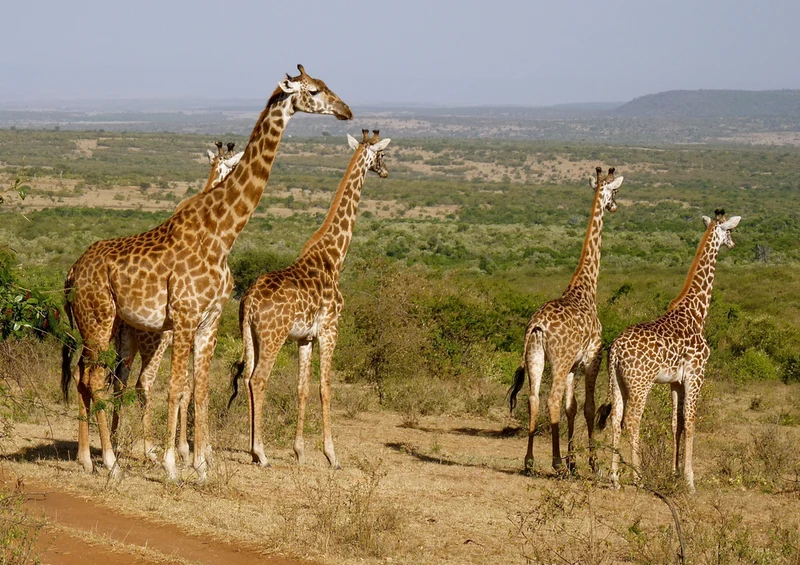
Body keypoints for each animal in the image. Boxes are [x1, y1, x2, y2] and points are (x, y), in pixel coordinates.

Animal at [109, 141, 244, 463]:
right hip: (155, 340)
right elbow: (188, 386)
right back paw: (149, 449)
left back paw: (116, 442)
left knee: (119, 381)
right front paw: (190, 449)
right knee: (143, 383)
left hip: (125, 339)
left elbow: (188, 385)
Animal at [228, 129, 390, 468]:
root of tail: (248, 301)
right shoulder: (330, 329)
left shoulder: (305, 338)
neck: (334, 256)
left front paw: (299, 451)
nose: (385, 171)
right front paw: (332, 455)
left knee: (247, 376)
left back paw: (253, 451)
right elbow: (325, 388)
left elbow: (302, 388)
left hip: (250, 335)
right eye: (382, 155)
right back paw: (261, 453)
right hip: (273, 336)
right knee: (258, 380)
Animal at [508, 167, 624, 475]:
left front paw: (574, 462)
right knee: (551, 399)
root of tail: (537, 326)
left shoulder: (573, 365)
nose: (614, 206)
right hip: (557, 361)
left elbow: (571, 407)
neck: (586, 287)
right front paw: (590, 464)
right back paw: (556, 462)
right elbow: (587, 407)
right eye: (616, 191)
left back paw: (530, 461)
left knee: (534, 398)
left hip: (536, 357)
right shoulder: (592, 359)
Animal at [596, 209, 741, 492]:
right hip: (640, 383)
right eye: (729, 230)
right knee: (632, 421)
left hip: (616, 381)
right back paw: (638, 478)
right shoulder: (697, 374)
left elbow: (676, 423)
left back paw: (614, 478)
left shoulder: (676, 381)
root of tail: (615, 349)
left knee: (616, 419)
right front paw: (690, 481)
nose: (732, 244)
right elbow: (692, 422)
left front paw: (674, 473)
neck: (697, 313)